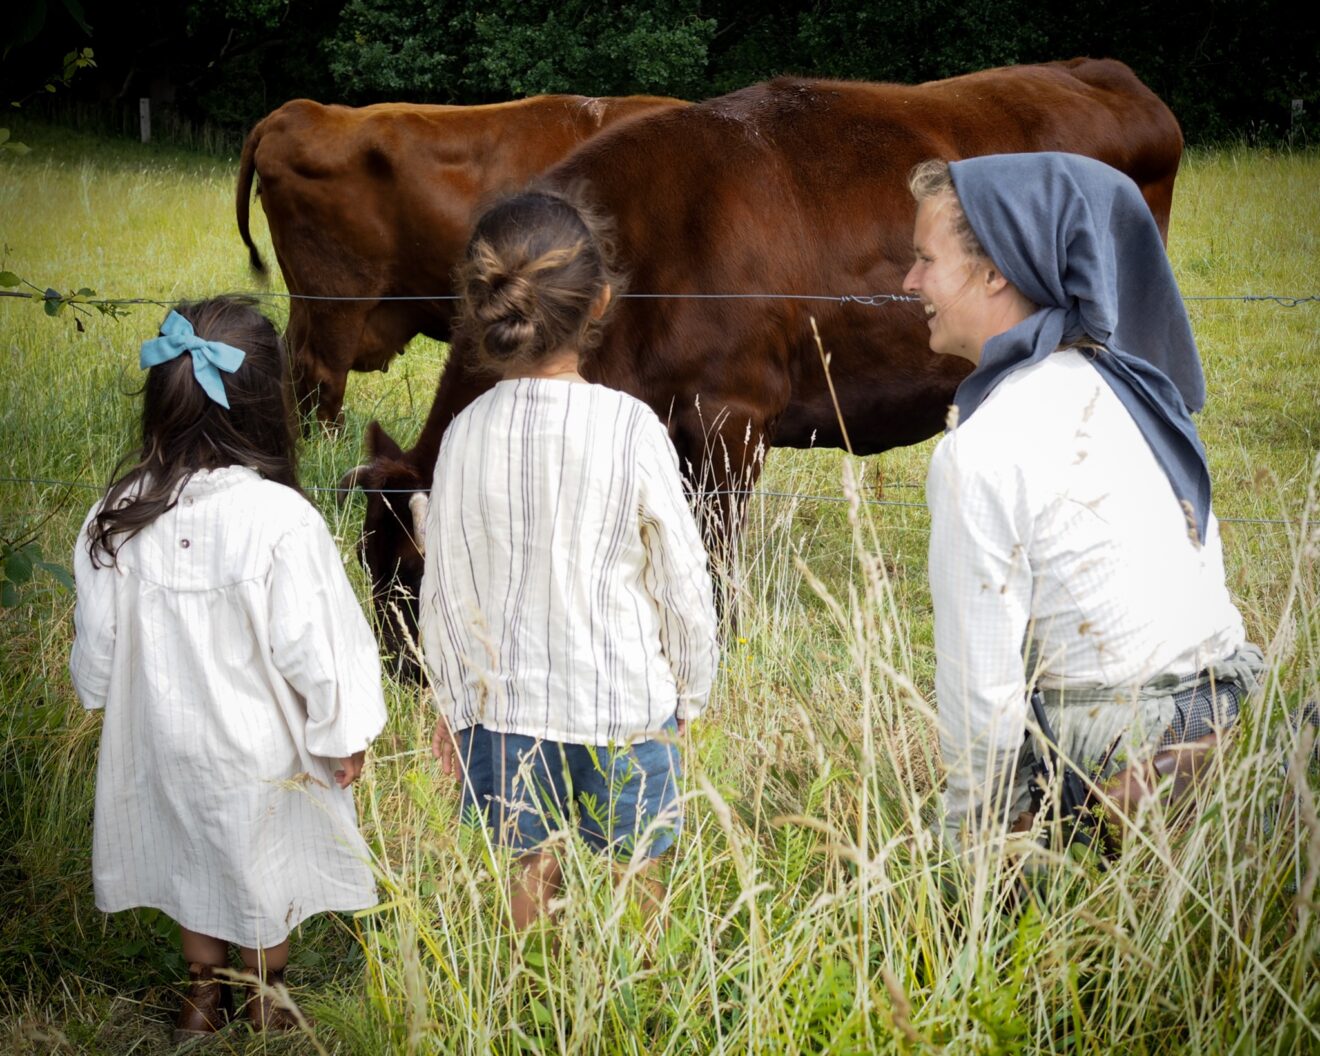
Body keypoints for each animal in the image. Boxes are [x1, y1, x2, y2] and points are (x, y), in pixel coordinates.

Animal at [345, 57, 1182, 665]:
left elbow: (716, 555)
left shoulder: (732, 418)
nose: (405, 678)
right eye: (366, 561)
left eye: (416, 573)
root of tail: (1109, 75)